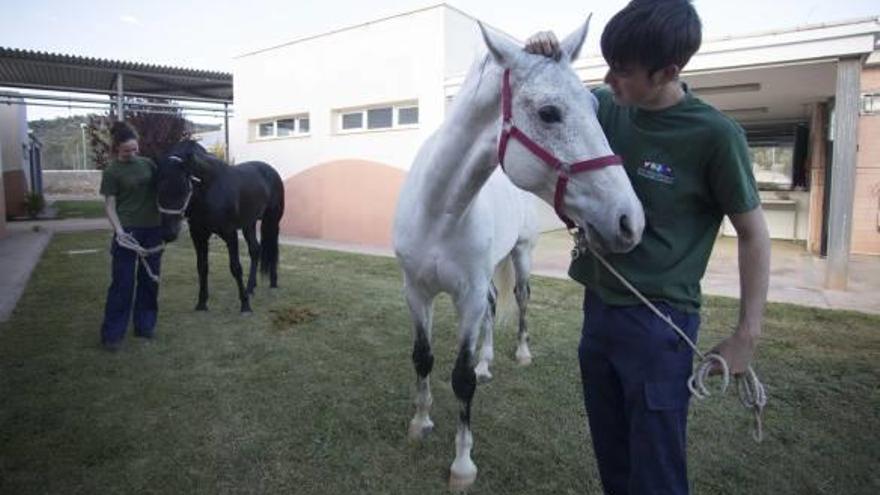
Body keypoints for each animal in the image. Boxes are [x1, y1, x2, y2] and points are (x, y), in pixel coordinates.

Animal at [392, 18, 648, 488]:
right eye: (549, 113)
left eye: (594, 103)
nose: (630, 221)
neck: (437, 211)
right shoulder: (416, 291)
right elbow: (423, 358)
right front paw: (420, 423)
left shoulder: (468, 296)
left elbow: (460, 378)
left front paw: (462, 464)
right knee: (495, 306)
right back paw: (487, 362)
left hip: (521, 255)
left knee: (520, 300)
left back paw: (515, 354)